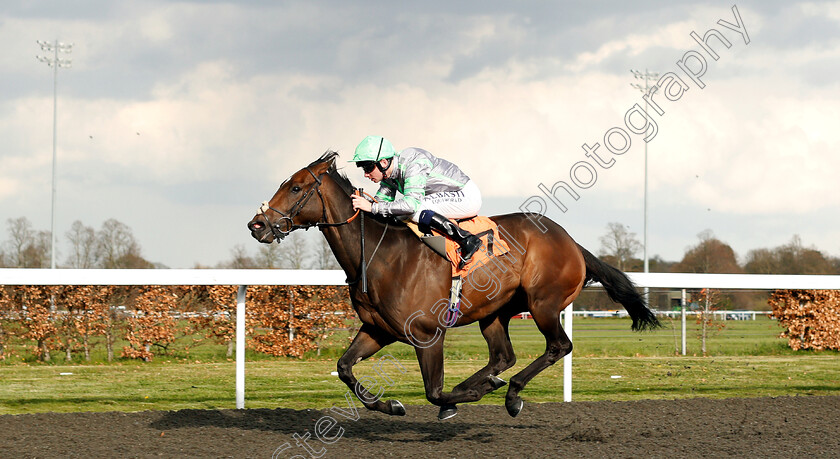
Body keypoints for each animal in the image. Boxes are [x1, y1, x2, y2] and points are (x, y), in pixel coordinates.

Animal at [246, 152, 660, 420]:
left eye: (296, 187)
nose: (257, 224)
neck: (379, 254)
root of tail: (573, 243)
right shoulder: (378, 329)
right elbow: (345, 368)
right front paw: (391, 405)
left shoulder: (427, 333)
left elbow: (433, 391)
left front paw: (458, 398)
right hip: (496, 312)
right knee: (503, 356)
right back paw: (492, 383)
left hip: (543, 304)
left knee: (559, 346)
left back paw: (509, 393)